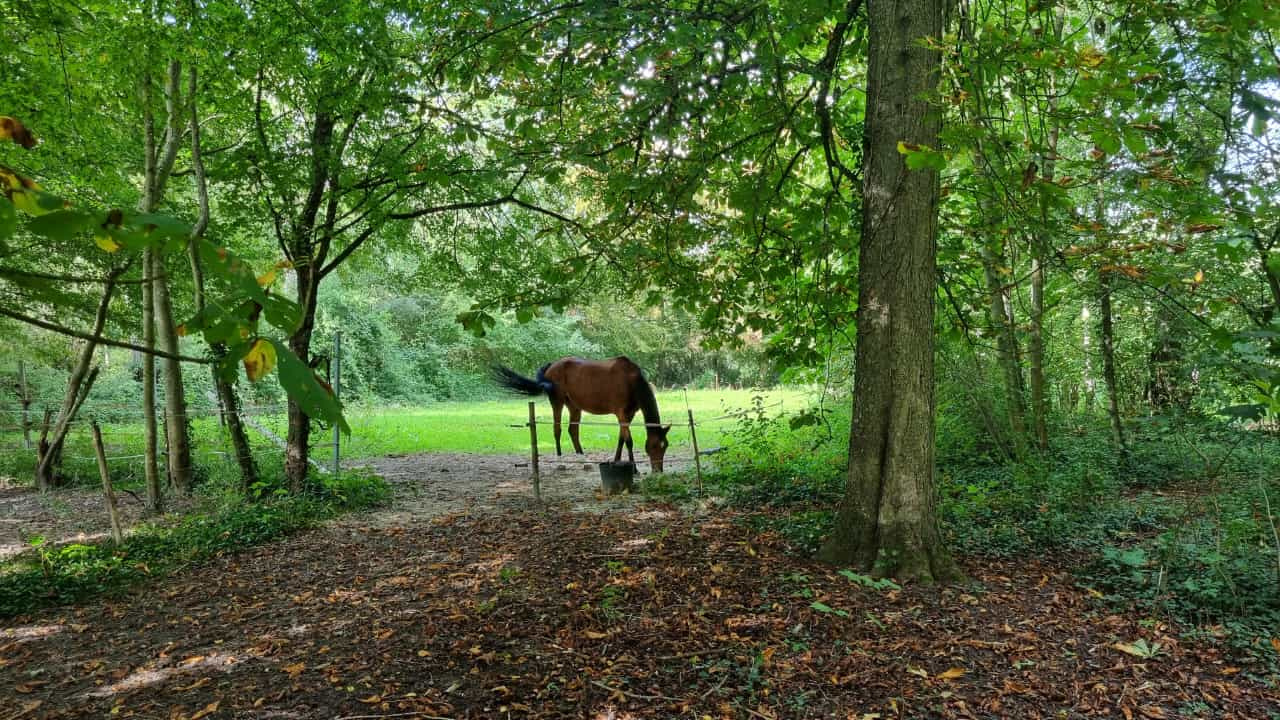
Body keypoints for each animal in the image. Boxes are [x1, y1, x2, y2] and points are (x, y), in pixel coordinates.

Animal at [488, 353, 675, 468]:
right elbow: (628, 441)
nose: (658, 470)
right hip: (557, 401)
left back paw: (582, 458)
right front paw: (634, 468)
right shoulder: (622, 414)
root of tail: (551, 366)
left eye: (665, 446)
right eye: (652, 447)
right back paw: (560, 459)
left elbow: (621, 439)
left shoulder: (629, 415)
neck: (631, 381)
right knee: (557, 429)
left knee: (573, 430)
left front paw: (617, 461)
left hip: (574, 406)